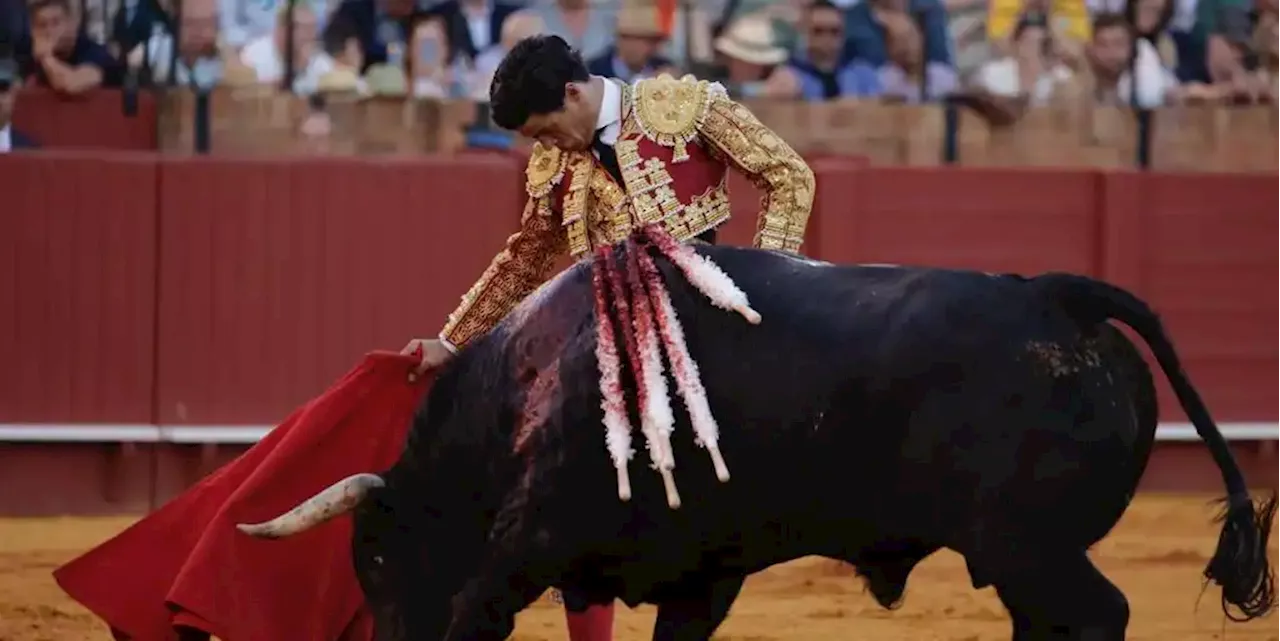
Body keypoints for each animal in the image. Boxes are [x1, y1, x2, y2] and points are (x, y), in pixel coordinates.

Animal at [235, 240, 1274, 639]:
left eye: (374, 556)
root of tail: (1062, 292)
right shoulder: (703, 571)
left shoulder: (523, 544)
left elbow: (469, 612)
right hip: (1026, 555)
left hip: (1030, 543)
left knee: (1097, 614)